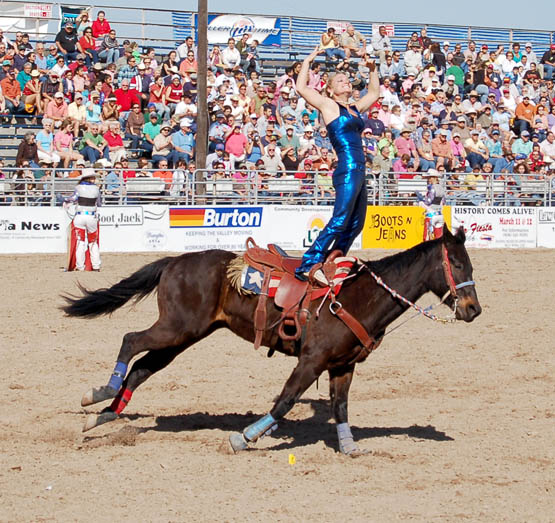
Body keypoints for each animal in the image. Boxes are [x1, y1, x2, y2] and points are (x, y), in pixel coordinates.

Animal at [62, 227, 482, 456]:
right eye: (459, 264)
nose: (474, 309)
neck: (358, 296)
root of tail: (174, 261)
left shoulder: (343, 366)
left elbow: (341, 409)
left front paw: (349, 447)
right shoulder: (311, 360)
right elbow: (284, 402)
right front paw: (244, 437)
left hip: (183, 336)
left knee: (141, 369)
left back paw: (103, 416)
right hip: (176, 328)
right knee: (131, 341)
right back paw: (99, 394)